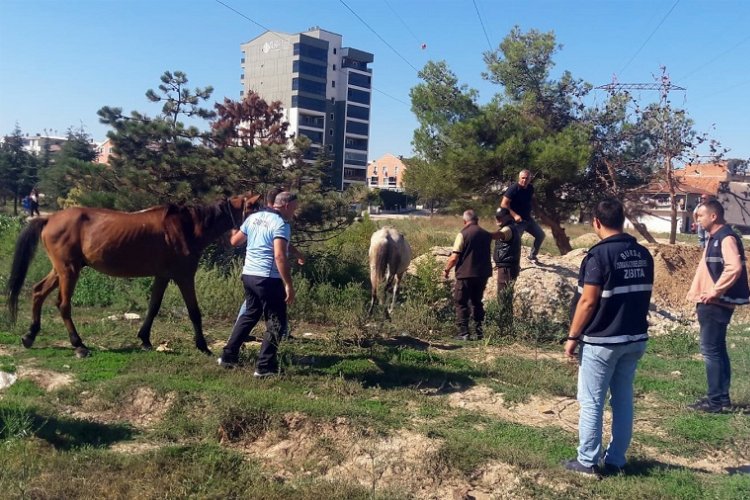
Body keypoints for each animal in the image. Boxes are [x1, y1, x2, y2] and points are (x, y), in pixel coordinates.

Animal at [6, 193, 262, 358]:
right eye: (256, 209)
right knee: (63, 304)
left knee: (38, 292)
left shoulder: (162, 276)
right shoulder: (184, 276)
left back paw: (30, 335)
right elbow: (194, 312)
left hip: (62, 269)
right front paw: (203, 346)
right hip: (69, 270)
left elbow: (153, 307)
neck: (187, 226)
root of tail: (49, 218)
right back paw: (79, 345)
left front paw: (145, 339)